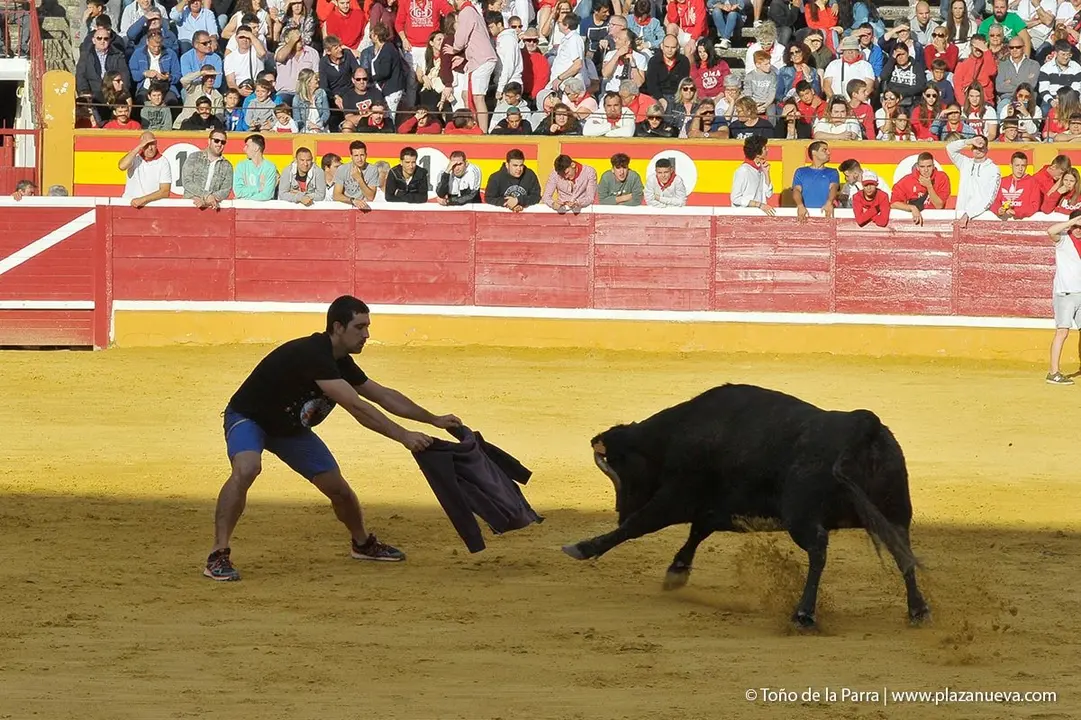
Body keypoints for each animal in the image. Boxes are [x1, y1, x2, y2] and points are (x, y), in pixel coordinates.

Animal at [561, 384, 930, 629]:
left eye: (618, 469)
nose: (619, 509)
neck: (675, 436)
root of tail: (863, 425)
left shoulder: (676, 497)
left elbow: (637, 525)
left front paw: (582, 547)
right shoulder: (719, 509)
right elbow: (697, 532)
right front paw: (676, 573)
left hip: (801, 516)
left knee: (819, 551)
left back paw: (803, 614)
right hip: (895, 514)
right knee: (903, 554)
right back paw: (918, 610)